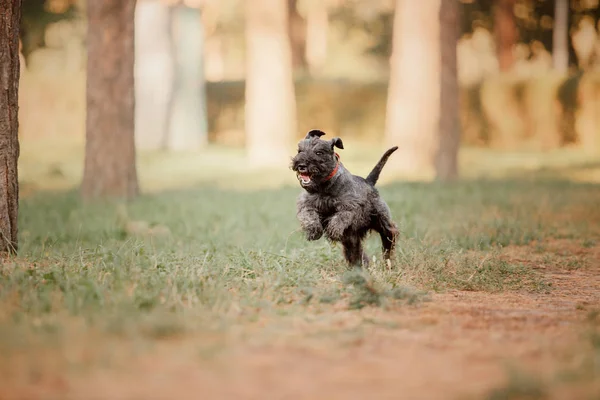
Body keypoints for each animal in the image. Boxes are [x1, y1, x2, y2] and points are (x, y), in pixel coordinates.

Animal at [290, 130, 398, 268]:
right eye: (299, 150)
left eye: (319, 152)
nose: (300, 165)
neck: (323, 186)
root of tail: (369, 182)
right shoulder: (306, 203)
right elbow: (308, 216)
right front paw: (314, 231)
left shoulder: (350, 205)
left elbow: (341, 216)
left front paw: (333, 229)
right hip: (351, 238)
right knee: (356, 251)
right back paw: (360, 266)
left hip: (381, 221)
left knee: (390, 235)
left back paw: (387, 261)